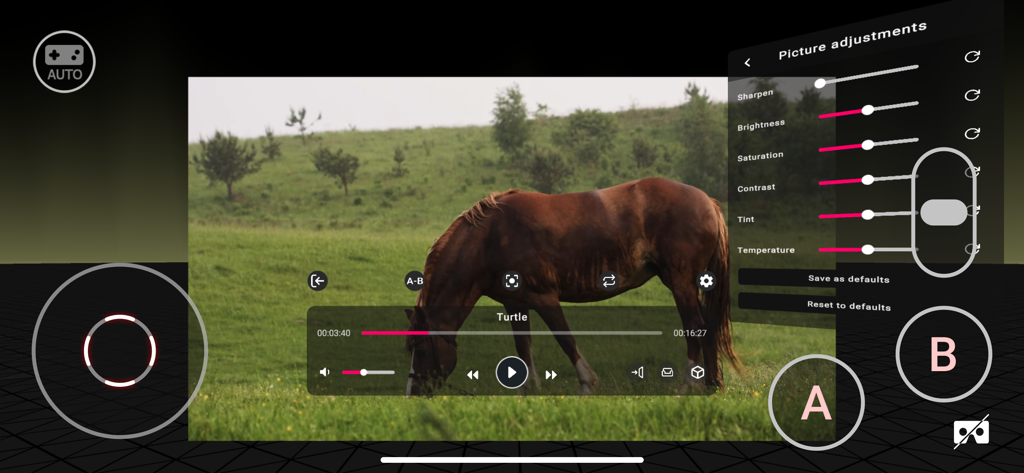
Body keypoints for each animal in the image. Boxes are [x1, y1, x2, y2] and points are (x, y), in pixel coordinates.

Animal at [404, 177, 741, 397]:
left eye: (421, 349)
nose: (412, 393)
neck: (490, 239)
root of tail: (708, 202)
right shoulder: (515, 304)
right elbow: (523, 348)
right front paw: (528, 392)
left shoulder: (544, 297)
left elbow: (565, 339)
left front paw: (587, 384)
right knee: (708, 328)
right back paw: (712, 385)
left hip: (681, 282)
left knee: (696, 327)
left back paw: (687, 387)